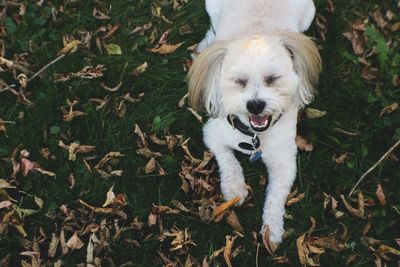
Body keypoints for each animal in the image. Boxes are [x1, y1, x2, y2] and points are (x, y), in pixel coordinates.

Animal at [188, 0, 322, 247]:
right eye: (239, 81)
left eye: (273, 79)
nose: (255, 105)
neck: (253, 135)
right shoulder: (212, 134)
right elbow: (228, 161)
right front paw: (234, 188)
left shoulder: (285, 161)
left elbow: (276, 196)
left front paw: (272, 229)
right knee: (213, 26)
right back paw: (208, 42)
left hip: (308, 14)